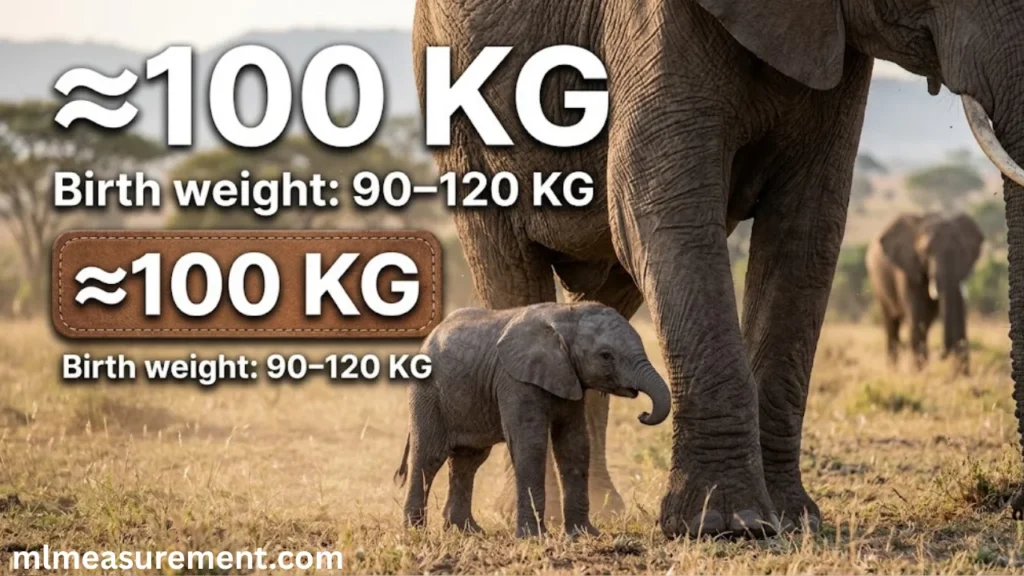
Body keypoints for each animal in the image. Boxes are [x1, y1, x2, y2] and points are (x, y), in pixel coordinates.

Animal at [393, 302, 670, 537]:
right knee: (429, 457)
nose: (643, 414)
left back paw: (468, 532)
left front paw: (584, 534)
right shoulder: (515, 380)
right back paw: (415, 533)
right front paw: (533, 537)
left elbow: (575, 444)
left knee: (468, 461)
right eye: (606, 356)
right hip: (427, 395)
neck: (566, 317)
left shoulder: (568, 377)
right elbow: (531, 444)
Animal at [866, 213, 984, 375]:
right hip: (878, 285)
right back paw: (893, 371)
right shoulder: (907, 268)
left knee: (925, 325)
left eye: (962, 250)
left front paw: (963, 377)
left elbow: (958, 314)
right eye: (926, 251)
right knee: (892, 324)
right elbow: (917, 316)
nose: (942, 355)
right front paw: (918, 374)